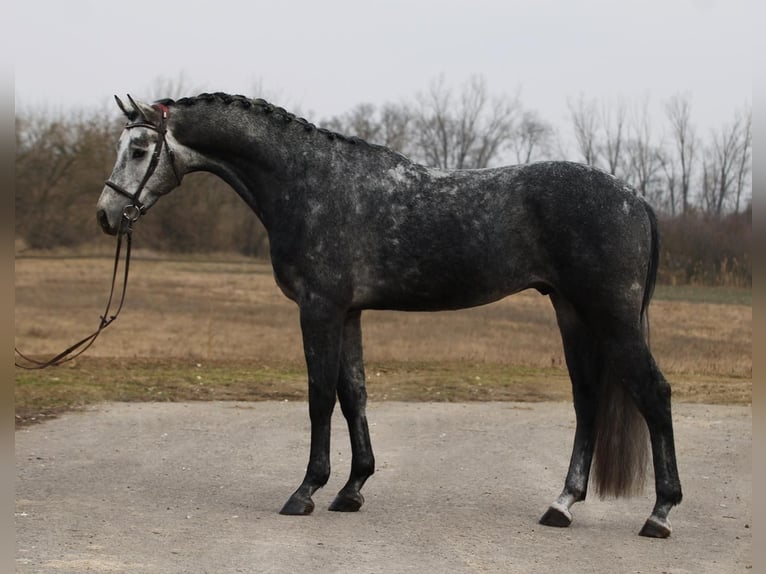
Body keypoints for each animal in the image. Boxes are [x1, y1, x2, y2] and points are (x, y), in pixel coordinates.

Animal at [96, 92, 682, 537]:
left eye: (140, 148)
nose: (106, 215)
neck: (309, 182)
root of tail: (635, 199)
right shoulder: (349, 313)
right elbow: (353, 395)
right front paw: (352, 489)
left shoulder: (320, 309)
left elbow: (319, 397)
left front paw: (306, 491)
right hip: (573, 314)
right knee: (588, 401)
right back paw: (561, 504)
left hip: (612, 318)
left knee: (652, 394)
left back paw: (659, 514)